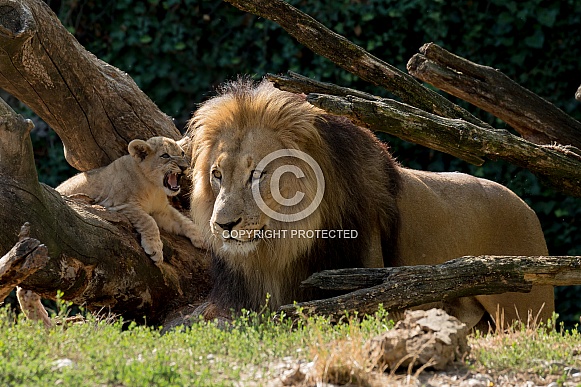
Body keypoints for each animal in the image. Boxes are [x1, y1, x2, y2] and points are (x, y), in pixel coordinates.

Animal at [187, 79, 552, 330]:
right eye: (217, 175)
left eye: (257, 174)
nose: (223, 225)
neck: (277, 254)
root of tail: (528, 209)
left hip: (526, 313)